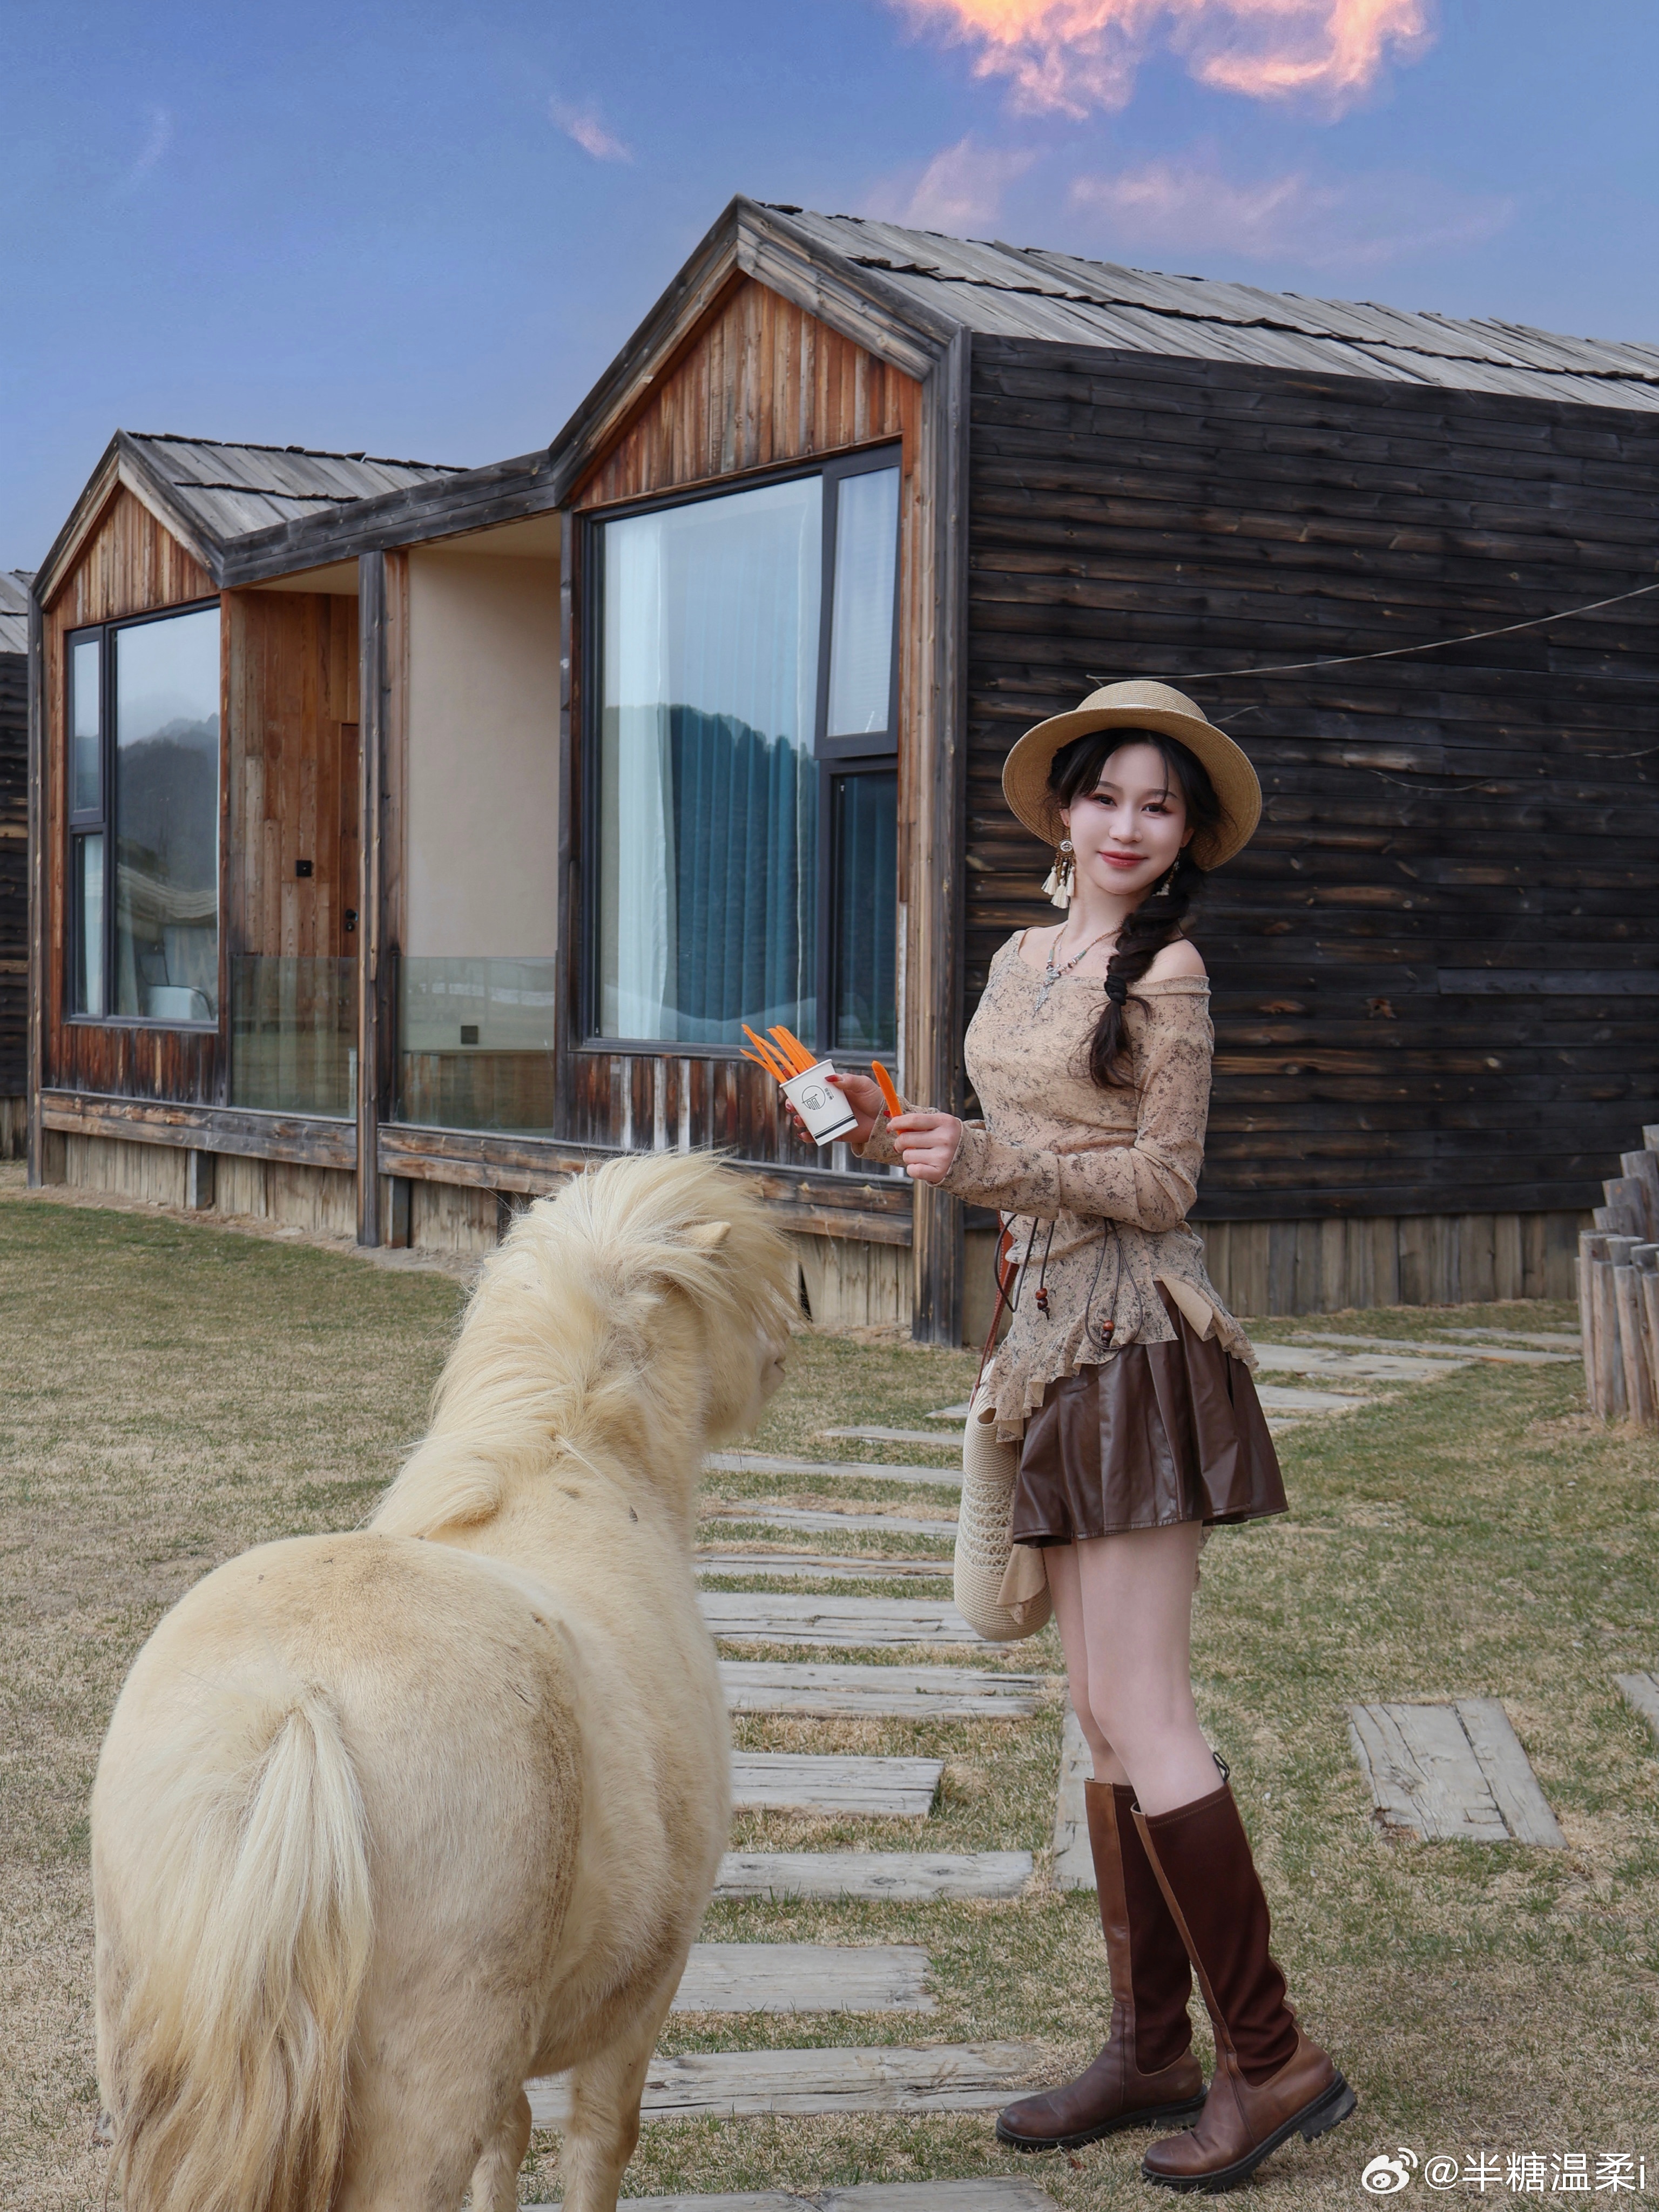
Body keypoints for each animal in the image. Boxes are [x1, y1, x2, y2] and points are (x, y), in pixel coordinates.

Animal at [91, 1151, 798, 2212]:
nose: (784, 1353)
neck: (575, 1473)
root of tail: (295, 1705)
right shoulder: (644, 1999)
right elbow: (596, 2146)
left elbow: (505, 2144)